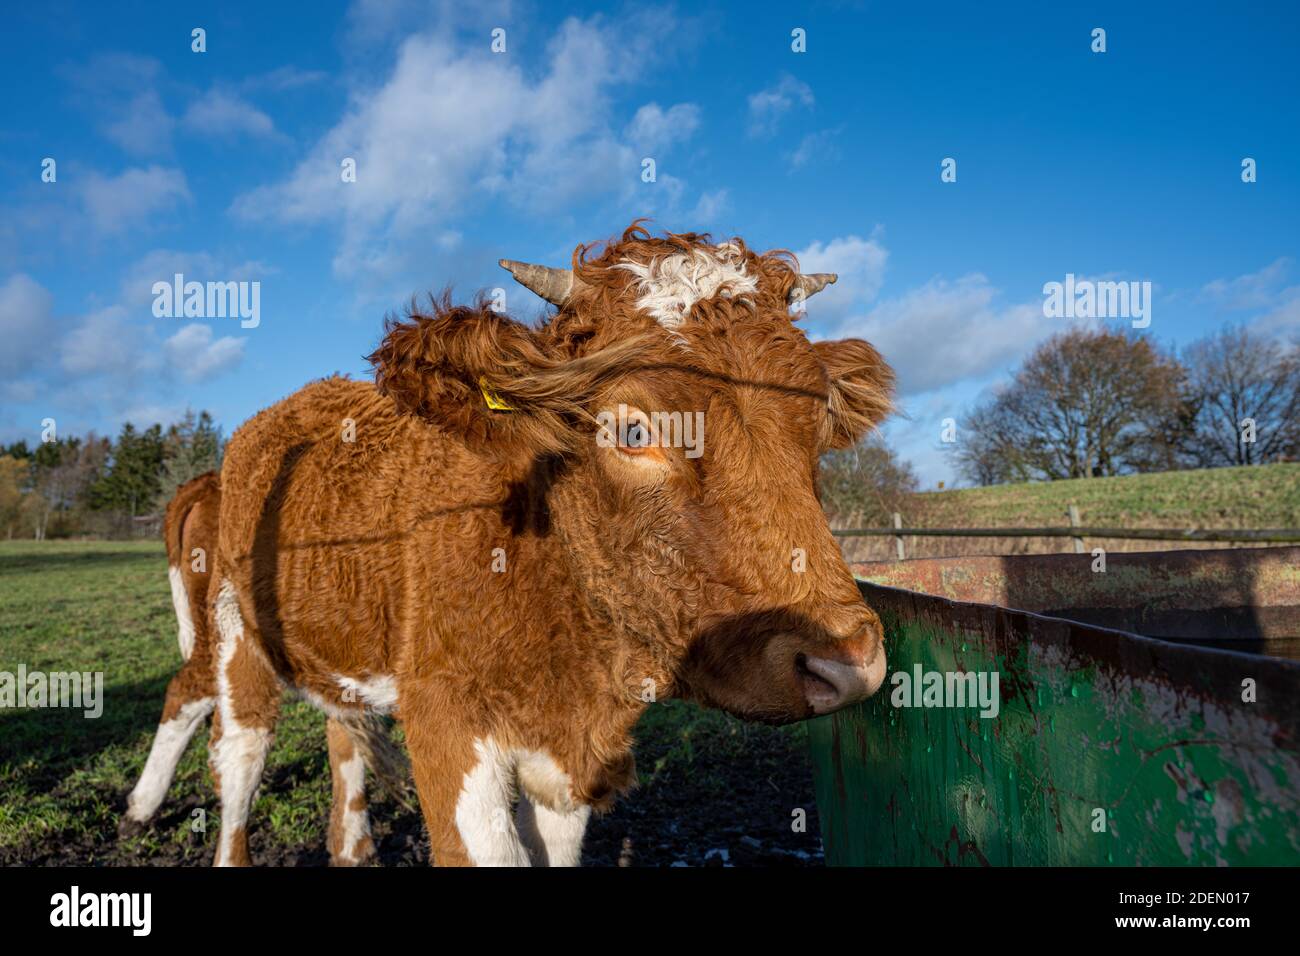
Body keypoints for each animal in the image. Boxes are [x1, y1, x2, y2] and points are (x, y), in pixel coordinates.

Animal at [208, 223, 894, 868]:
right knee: (240, 756)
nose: (846, 662)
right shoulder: (445, 723)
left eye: (818, 420)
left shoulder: (569, 761)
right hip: (233, 628)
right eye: (632, 429)